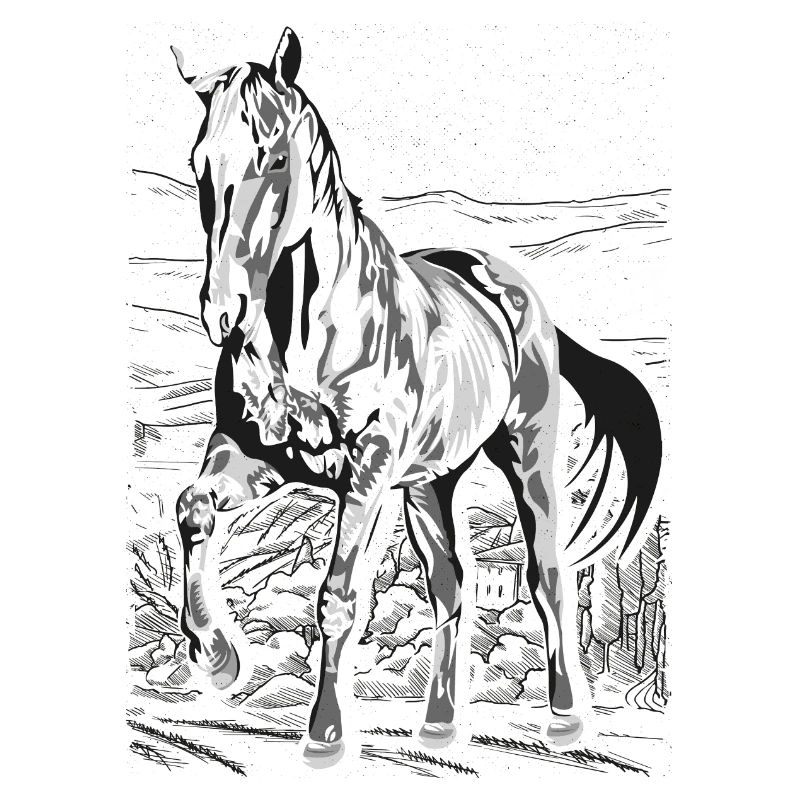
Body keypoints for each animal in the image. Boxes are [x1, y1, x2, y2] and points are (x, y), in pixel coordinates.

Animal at [170, 28, 661, 762]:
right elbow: (192, 509)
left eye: (276, 158)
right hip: (432, 481)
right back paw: (438, 723)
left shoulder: (366, 470)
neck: (311, 329)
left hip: (525, 453)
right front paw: (218, 656)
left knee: (548, 574)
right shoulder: (251, 454)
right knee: (452, 584)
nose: (223, 313)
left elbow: (338, 596)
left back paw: (566, 719)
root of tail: (506, 281)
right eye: (200, 165)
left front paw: (324, 735)